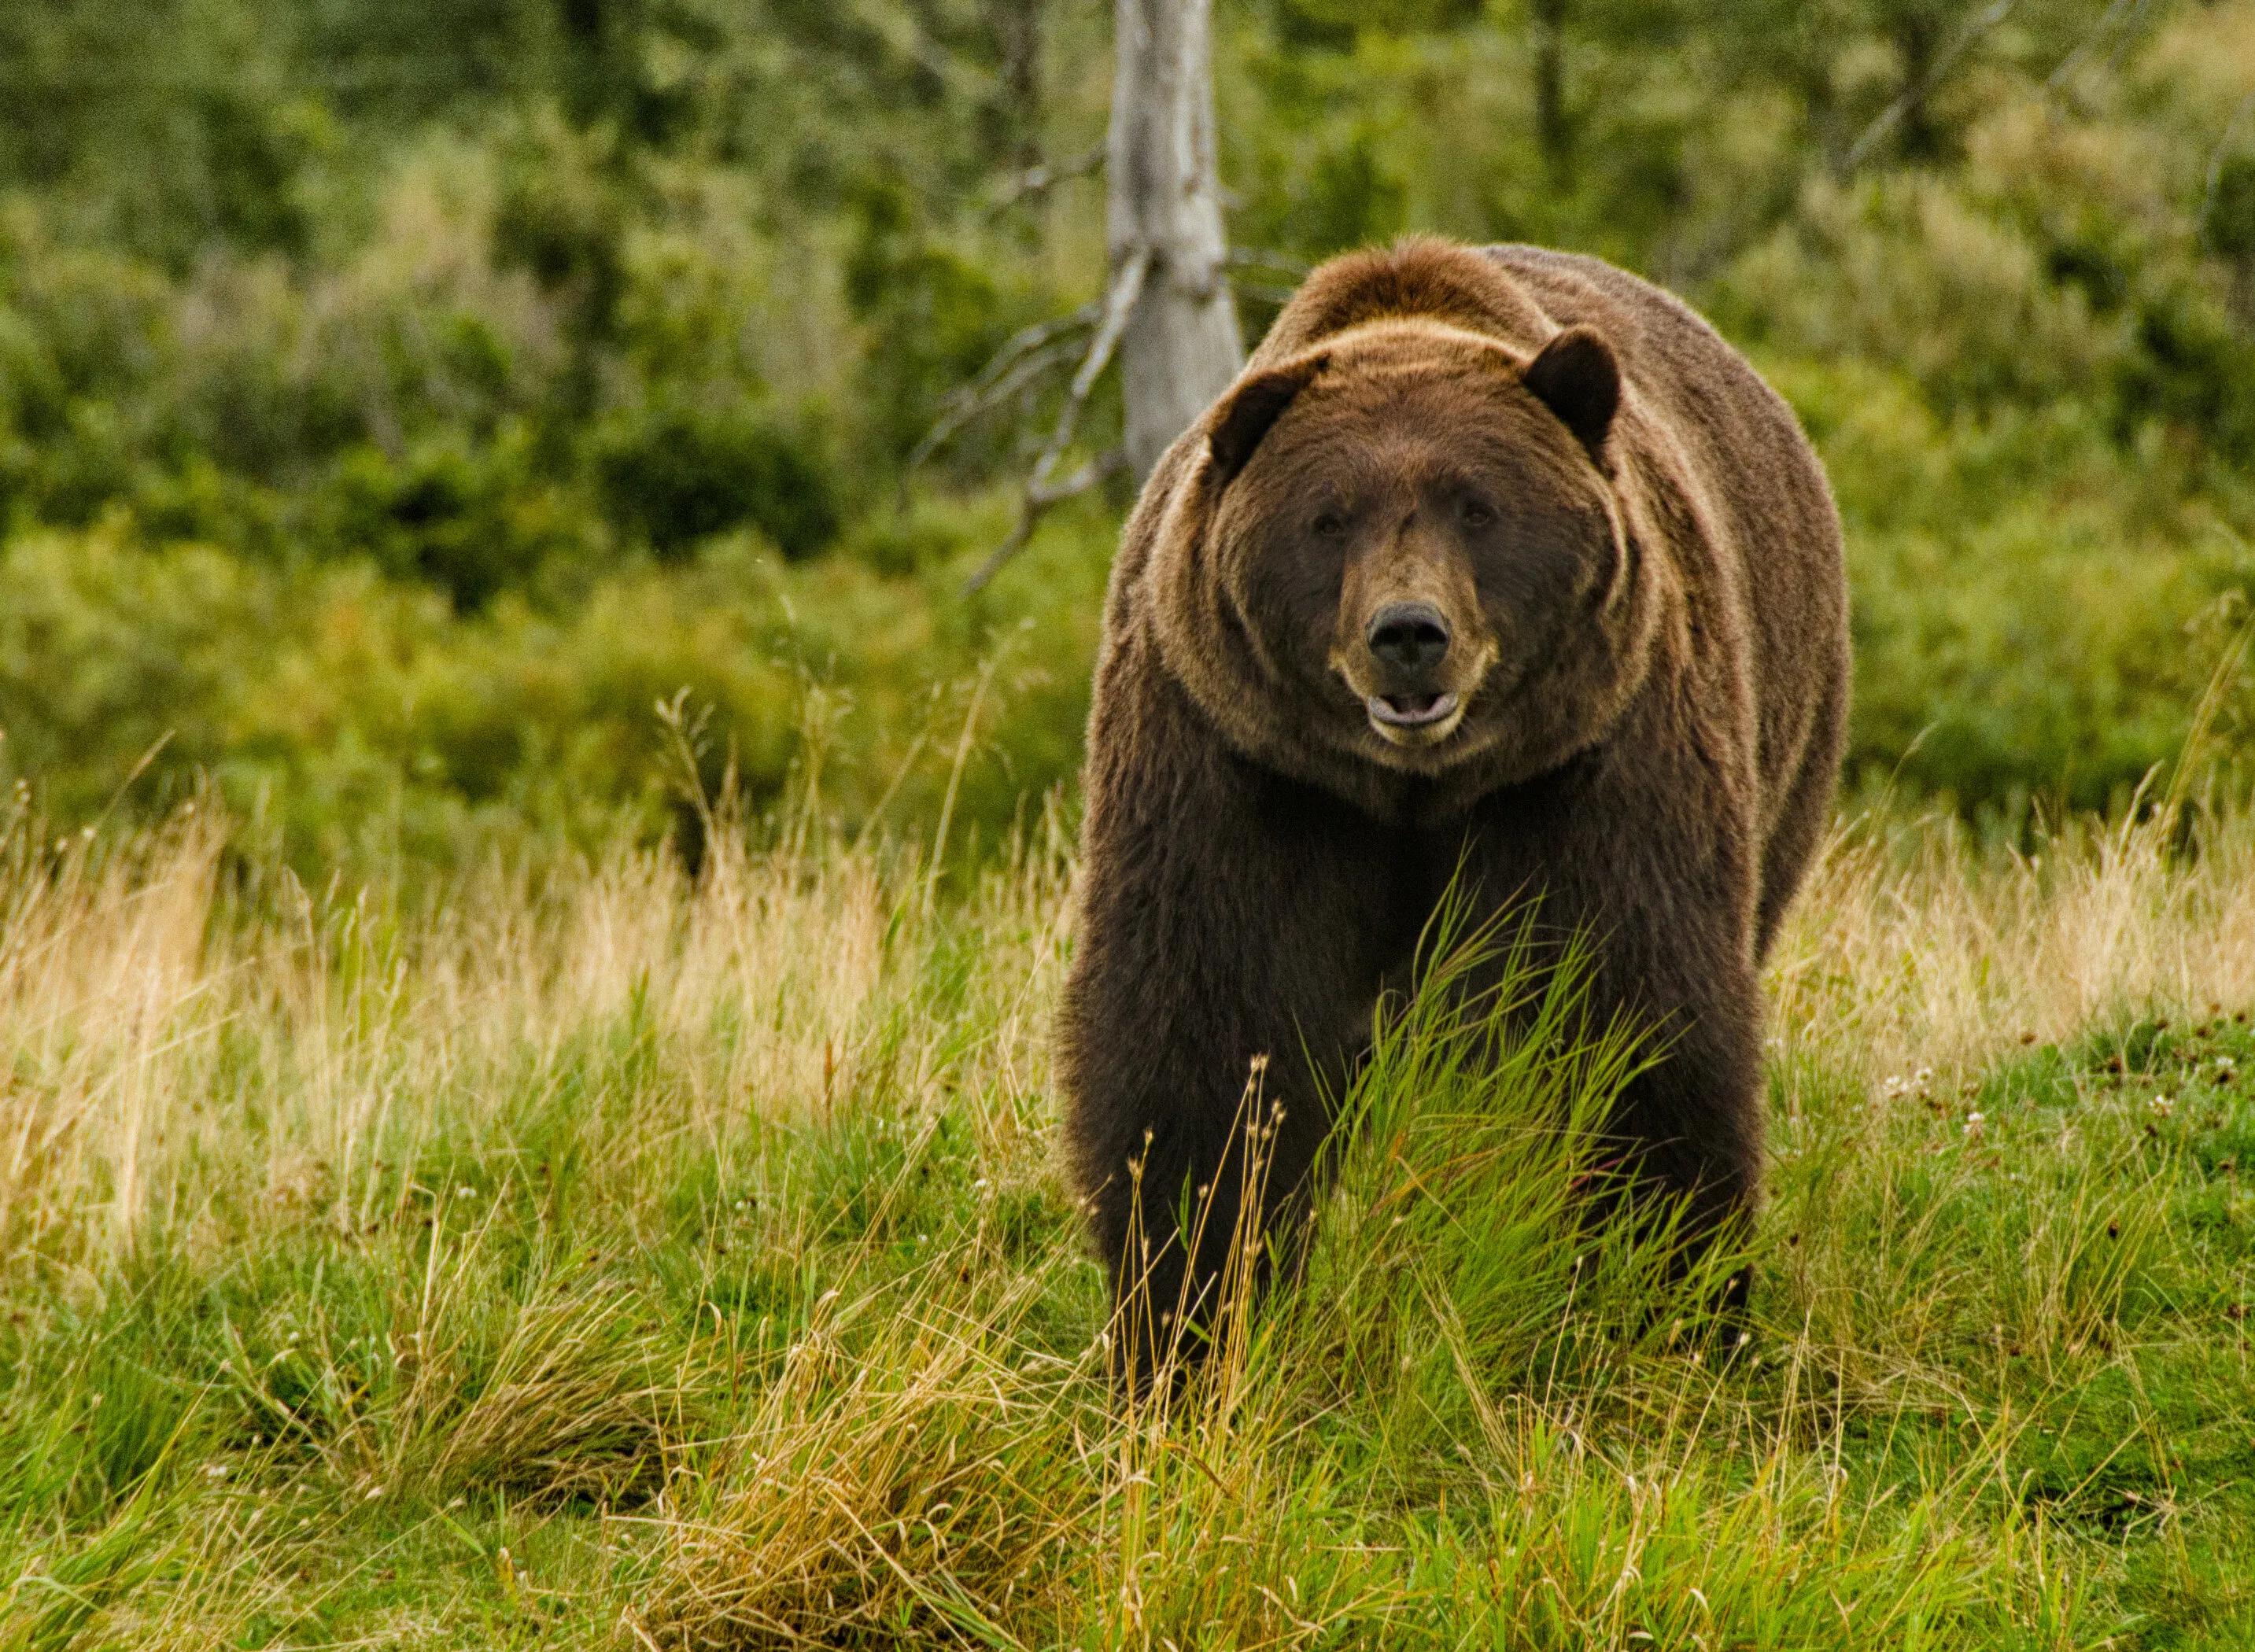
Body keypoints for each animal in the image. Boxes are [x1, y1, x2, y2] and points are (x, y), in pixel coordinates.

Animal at [1058, 236, 1849, 1386]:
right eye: (1328, 516)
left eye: (1477, 507)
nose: (1407, 634)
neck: (1408, 790)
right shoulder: (1243, 768)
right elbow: (1209, 1043)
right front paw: (1188, 1323)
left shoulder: (1585, 767)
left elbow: (1625, 1022)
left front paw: (1666, 1299)